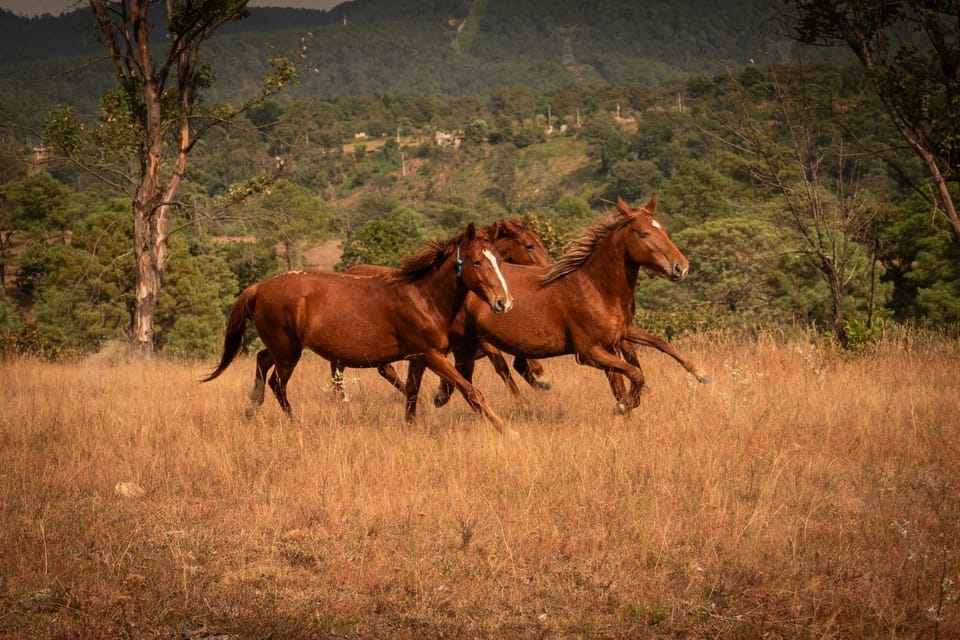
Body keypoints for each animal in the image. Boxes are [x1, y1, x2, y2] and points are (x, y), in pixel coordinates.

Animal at [202, 223, 516, 434]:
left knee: (261, 362)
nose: (504, 302)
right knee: (277, 384)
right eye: (477, 261)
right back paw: (295, 422)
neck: (422, 297)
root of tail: (260, 287)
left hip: (282, 348)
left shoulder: (418, 358)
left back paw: (250, 411)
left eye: (499, 261)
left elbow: (412, 394)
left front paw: (410, 427)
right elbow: (471, 391)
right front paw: (505, 428)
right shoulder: (431, 355)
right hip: (289, 354)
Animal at [431, 195, 690, 415]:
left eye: (664, 230)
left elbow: (630, 374)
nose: (681, 267)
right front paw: (625, 405)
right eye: (644, 234)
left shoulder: (613, 343)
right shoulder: (588, 353)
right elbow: (634, 375)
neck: (594, 288)